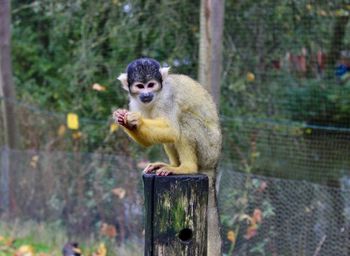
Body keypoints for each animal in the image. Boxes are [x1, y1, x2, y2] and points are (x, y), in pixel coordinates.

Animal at [113, 58, 221, 256]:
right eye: (140, 86)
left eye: (151, 85)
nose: (146, 94)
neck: (156, 96)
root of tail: (214, 165)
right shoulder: (135, 102)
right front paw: (125, 120)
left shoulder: (167, 98)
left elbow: (172, 129)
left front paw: (137, 120)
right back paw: (172, 164)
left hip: (209, 148)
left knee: (183, 121)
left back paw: (185, 168)